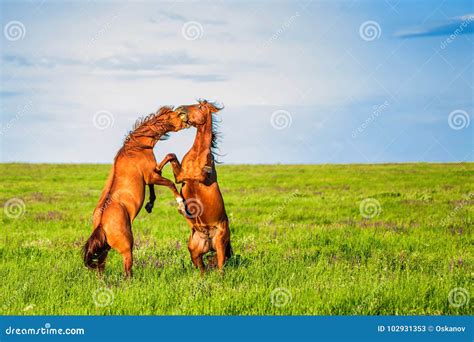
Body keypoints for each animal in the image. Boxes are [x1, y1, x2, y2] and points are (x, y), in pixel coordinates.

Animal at [83, 107, 189, 278]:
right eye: (173, 115)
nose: (186, 117)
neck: (137, 147)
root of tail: (101, 225)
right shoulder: (150, 175)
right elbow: (170, 182)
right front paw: (181, 204)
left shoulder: (150, 176)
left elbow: (163, 166)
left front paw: (150, 205)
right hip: (127, 248)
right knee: (127, 272)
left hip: (104, 251)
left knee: (100, 268)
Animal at [156, 100, 232, 274]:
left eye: (199, 107)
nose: (180, 109)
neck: (197, 155)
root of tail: (209, 238)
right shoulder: (180, 177)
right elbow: (171, 155)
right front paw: (157, 168)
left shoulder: (199, 178)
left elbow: (199, 173)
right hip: (194, 251)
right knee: (202, 270)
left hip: (220, 244)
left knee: (221, 268)